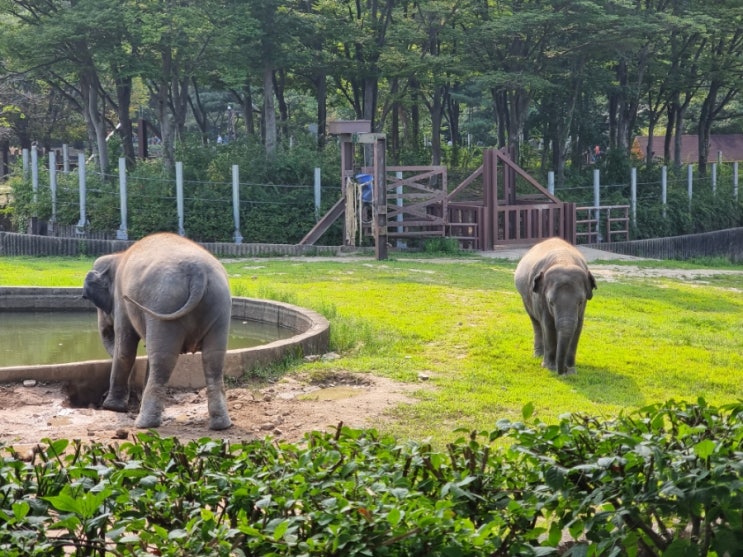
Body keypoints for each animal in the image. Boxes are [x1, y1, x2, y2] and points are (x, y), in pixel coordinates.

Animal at [81, 232, 234, 428]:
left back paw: (144, 423)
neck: (118, 256)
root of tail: (197, 271)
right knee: (213, 357)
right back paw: (220, 425)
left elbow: (125, 349)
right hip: (220, 305)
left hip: (164, 302)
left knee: (162, 358)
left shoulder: (122, 301)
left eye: (89, 298)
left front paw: (112, 408)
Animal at [516, 237, 596, 376]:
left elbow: (578, 327)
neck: (564, 260)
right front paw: (549, 368)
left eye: (580, 302)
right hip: (526, 300)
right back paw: (538, 355)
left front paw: (571, 371)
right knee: (536, 323)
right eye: (551, 302)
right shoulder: (540, 298)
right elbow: (548, 325)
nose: (562, 371)